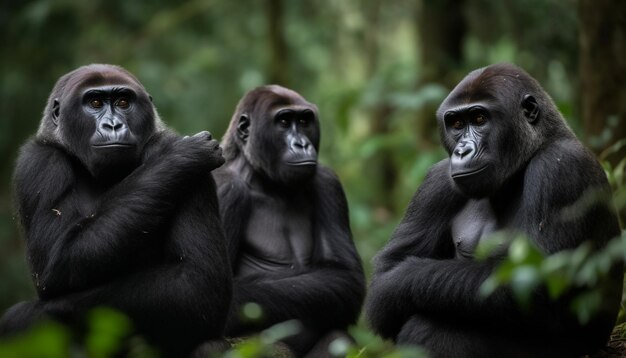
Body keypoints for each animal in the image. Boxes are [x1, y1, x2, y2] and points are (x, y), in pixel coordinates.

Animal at [0, 64, 232, 358]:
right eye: (95, 103)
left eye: (123, 102)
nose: (113, 125)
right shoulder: (39, 162)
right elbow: (53, 265)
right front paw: (180, 155)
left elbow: (196, 283)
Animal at [213, 85, 366, 356]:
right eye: (283, 122)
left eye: (304, 122)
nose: (302, 144)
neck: (263, 180)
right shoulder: (225, 189)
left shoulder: (328, 182)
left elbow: (343, 275)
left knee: (338, 338)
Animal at [364, 64, 620, 358]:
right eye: (456, 124)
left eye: (479, 118)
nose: (462, 151)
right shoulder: (437, 181)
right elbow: (389, 266)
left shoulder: (562, 167)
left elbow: (536, 283)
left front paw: (400, 281)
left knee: (429, 326)